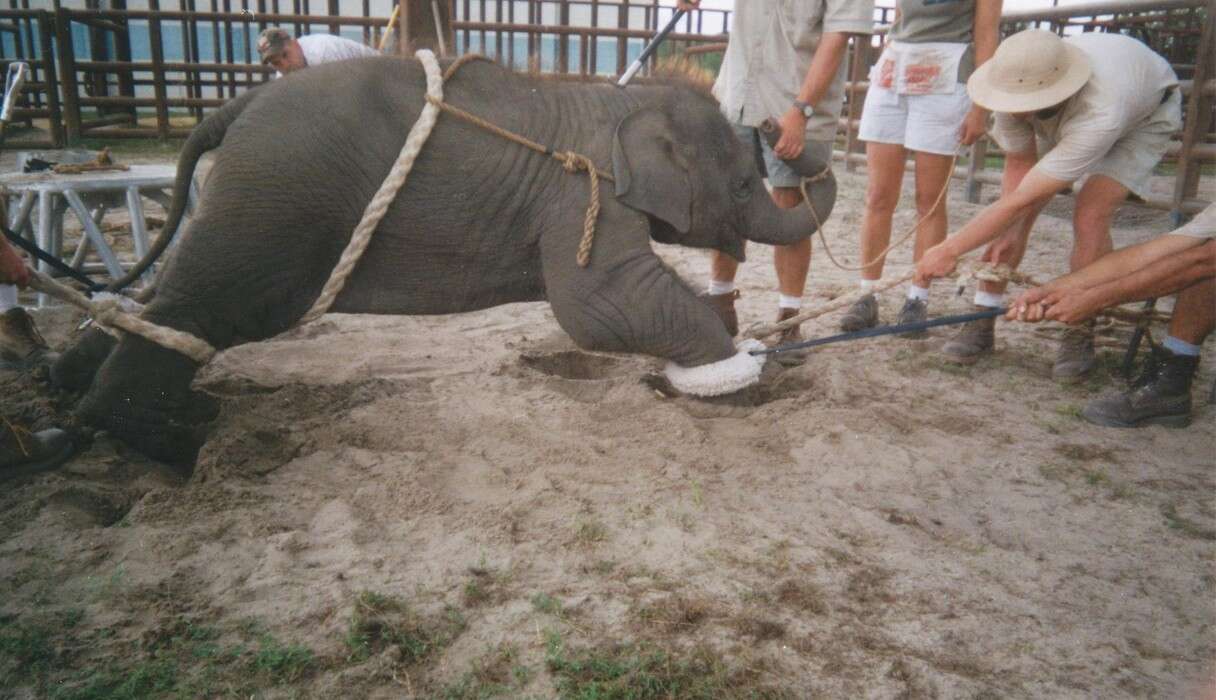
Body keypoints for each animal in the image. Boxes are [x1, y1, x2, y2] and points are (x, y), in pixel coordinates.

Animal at [54, 54, 836, 464]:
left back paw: (71, 391)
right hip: (275, 196)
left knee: (174, 306)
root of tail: (234, 108)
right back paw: (179, 440)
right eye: (744, 185)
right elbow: (600, 304)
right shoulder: (583, 193)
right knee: (206, 306)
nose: (782, 129)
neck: (622, 102)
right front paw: (735, 382)